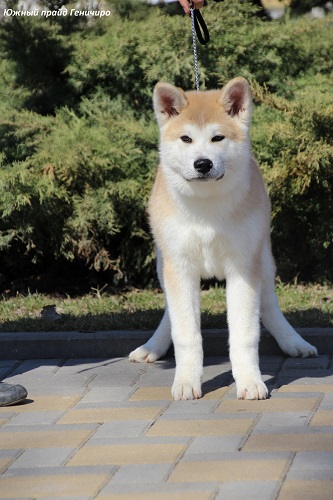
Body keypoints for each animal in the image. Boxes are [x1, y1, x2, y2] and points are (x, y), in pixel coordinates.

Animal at [128, 76, 316, 400]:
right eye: (186, 139)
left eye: (217, 138)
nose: (202, 164)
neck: (207, 208)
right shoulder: (180, 268)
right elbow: (186, 333)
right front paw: (186, 381)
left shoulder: (243, 268)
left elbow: (244, 334)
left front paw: (250, 381)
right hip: (164, 264)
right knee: (170, 312)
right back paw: (153, 346)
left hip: (263, 260)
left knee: (269, 305)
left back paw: (293, 341)